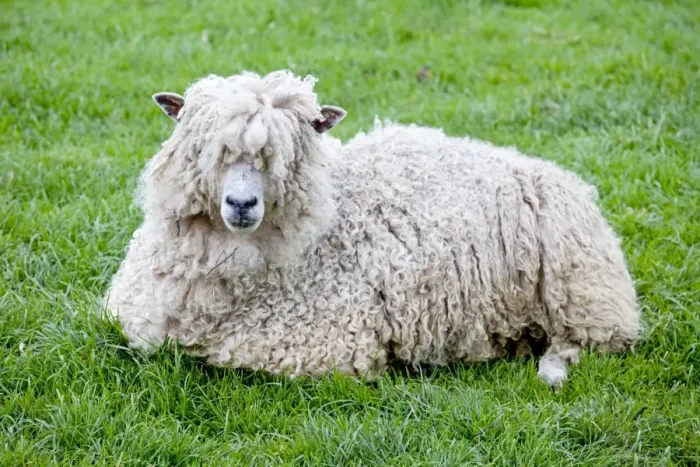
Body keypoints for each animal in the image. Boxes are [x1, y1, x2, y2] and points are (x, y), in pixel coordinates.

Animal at [103, 69, 641, 388]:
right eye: (207, 148)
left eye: (288, 152)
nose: (240, 204)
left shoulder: (313, 346)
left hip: (585, 294)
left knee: (592, 343)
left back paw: (551, 369)